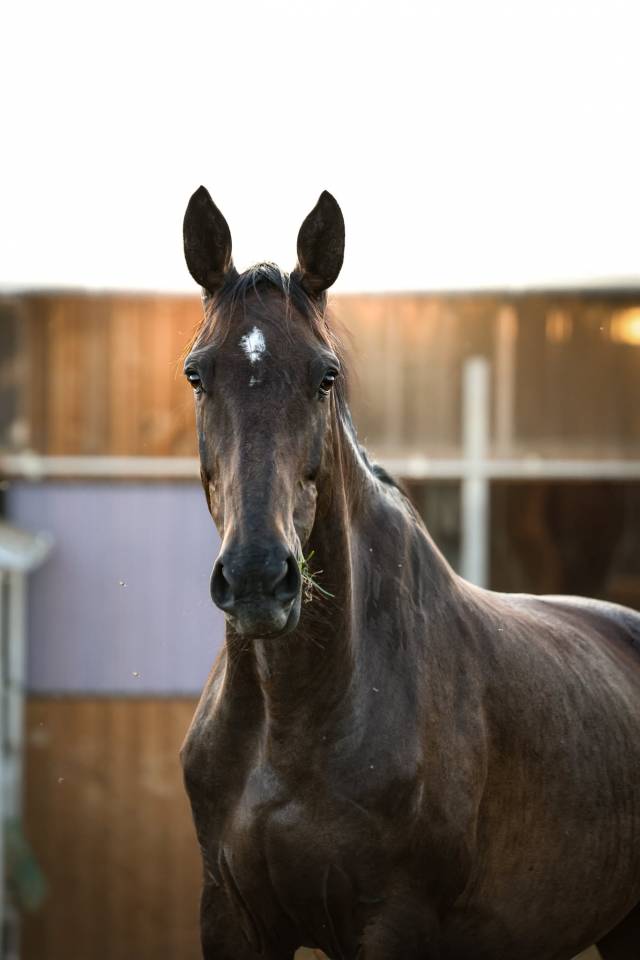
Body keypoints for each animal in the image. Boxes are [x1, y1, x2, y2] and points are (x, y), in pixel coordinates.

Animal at [179, 186, 640, 960]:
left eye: (326, 375)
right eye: (196, 373)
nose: (257, 578)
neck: (297, 715)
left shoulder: (395, 921)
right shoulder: (230, 917)